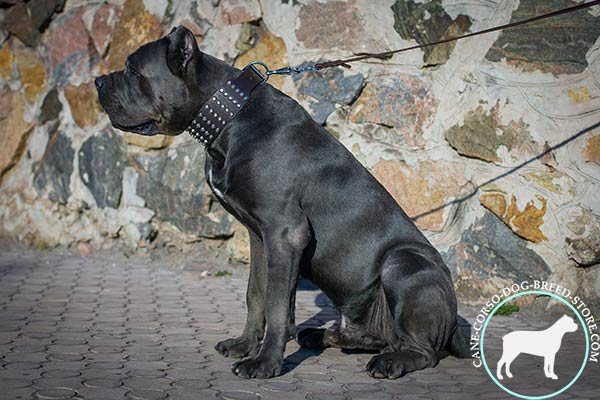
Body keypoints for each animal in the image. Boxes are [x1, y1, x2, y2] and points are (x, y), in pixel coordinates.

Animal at [95, 25, 468, 378]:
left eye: (132, 70)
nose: (97, 82)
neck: (229, 116)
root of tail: (453, 324)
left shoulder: (285, 233)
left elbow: (275, 305)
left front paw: (265, 363)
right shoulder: (260, 237)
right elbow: (256, 294)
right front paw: (244, 345)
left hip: (401, 263)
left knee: (423, 351)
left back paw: (390, 362)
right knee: (371, 337)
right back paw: (322, 335)